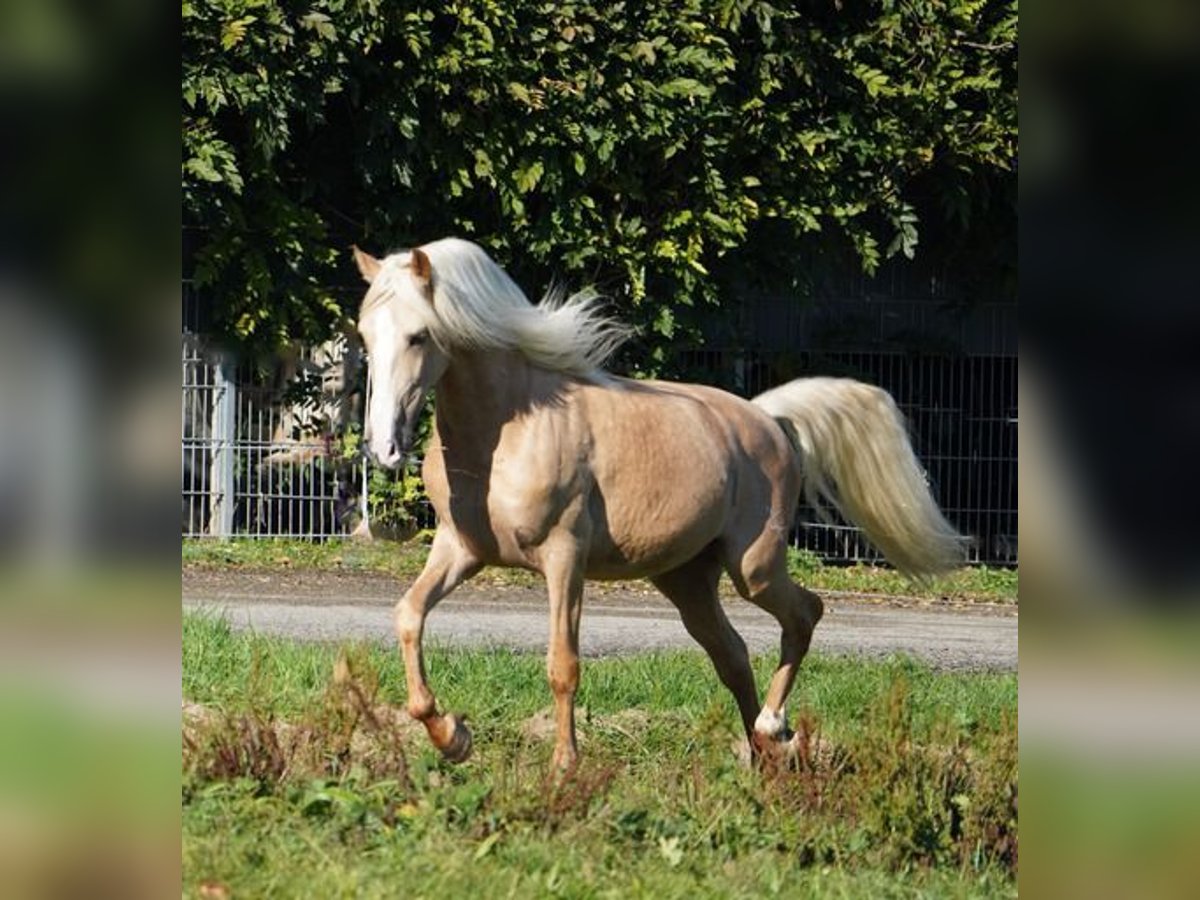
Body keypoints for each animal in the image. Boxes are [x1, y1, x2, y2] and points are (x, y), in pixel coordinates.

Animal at [350, 241, 960, 777]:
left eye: (419, 335)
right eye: (365, 334)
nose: (382, 447)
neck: (511, 427)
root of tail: (766, 418)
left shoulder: (564, 558)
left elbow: (563, 665)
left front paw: (563, 768)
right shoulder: (461, 550)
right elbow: (408, 616)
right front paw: (452, 737)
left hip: (754, 567)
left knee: (805, 614)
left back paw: (774, 727)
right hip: (687, 579)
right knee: (733, 655)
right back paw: (763, 758)